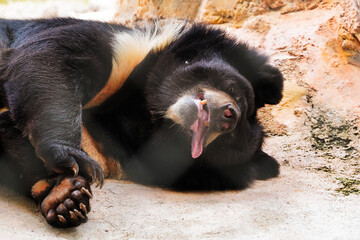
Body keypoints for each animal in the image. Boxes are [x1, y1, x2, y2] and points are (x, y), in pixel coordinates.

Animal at [0, 18, 282, 227]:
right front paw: (69, 156)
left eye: (226, 143)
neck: (145, 114)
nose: (227, 116)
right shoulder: (127, 51)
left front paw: (65, 197)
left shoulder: (106, 148)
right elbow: (52, 57)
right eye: (235, 91)